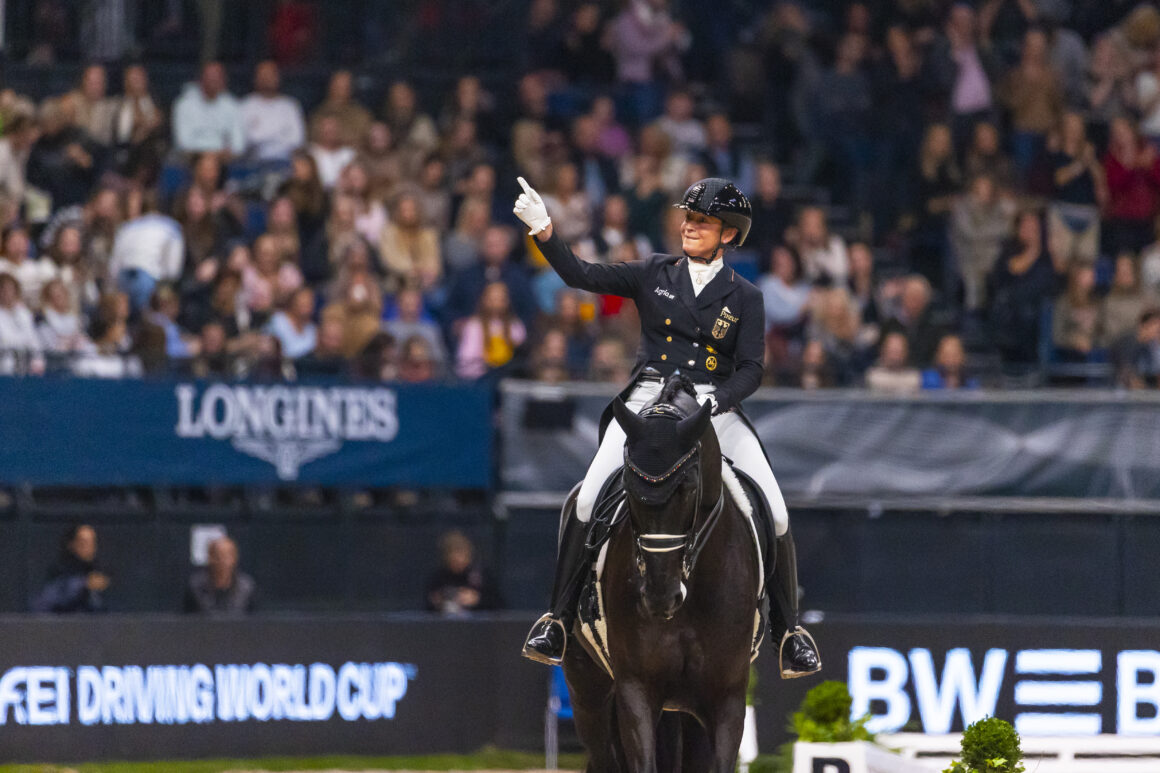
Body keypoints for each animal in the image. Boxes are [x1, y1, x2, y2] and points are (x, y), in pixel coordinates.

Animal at [561, 371, 760, 766]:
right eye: (628, 485)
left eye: (689, 487)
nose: (659, 598)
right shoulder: (636, 689)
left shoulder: (726, 701)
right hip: (586, 686)